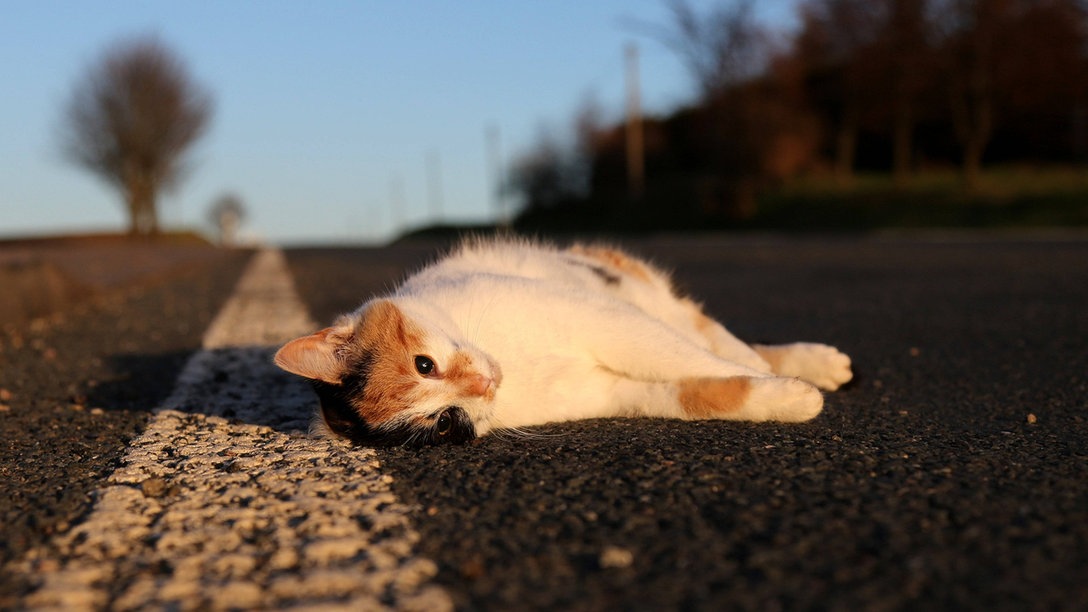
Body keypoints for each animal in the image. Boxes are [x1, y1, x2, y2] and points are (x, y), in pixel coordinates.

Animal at [272, 236, 848, 446]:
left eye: (424, 364)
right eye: (444, 424)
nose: (482, 385)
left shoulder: (600, 318)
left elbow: (691, 357)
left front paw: (780, 380)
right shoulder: (611, 391)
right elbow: (693, 392)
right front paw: (788, 398)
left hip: (637, 292)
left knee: (711, 336)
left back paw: (812, 361)